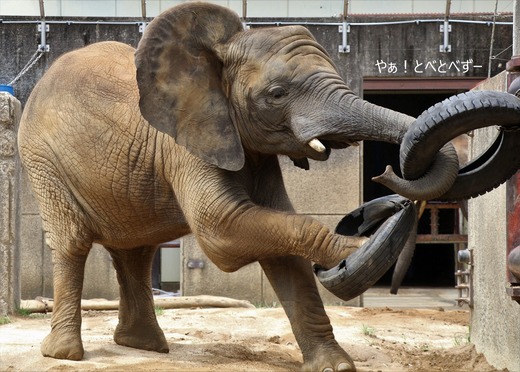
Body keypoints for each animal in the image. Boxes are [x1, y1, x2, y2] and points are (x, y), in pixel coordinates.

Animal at [15, 2, 516, 372]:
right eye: (277, 95)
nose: (386, 181)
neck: (218, 53)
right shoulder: (190, 139)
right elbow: (224, 232)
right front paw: (358, 254)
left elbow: (277, 233)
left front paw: (335, 366)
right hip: (40, 157)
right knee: (74, 242)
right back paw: (66, 354)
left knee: (135, 250)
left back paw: (144, 347)